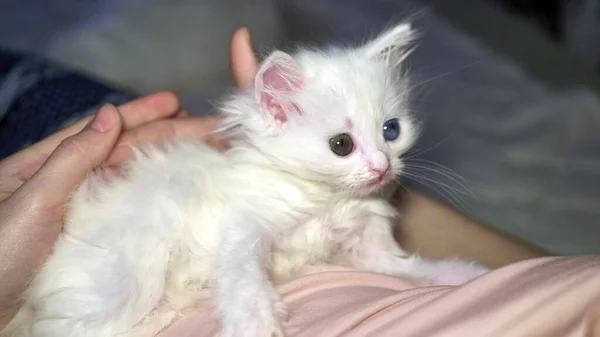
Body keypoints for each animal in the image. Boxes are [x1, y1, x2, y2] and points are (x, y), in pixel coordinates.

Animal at [1, 21, 488, 336]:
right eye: (342, 145)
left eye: (391, 131)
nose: (382, 167)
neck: (328, 199)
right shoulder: (244, 227)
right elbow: (242, 279)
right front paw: (254, 322)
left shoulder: (368, 248)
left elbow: (409, 269)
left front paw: (461, 275)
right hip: (121, 285)